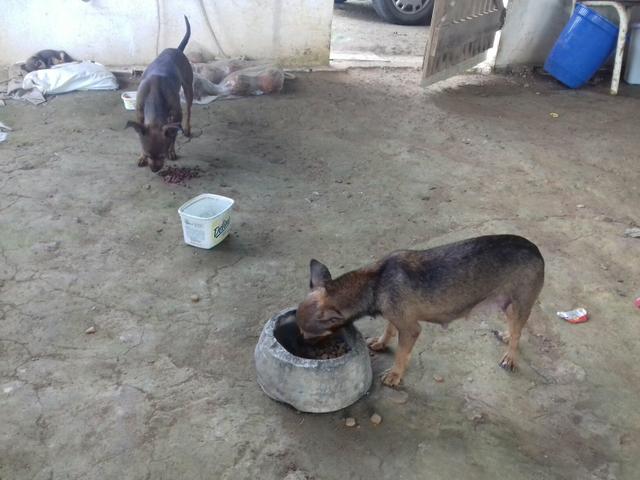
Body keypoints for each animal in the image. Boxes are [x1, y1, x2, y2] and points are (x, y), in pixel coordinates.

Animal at [126, 15, 194, 172]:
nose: (154, 170)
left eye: (162, 155)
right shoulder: (140, 115)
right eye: (147, 154)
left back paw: (187, 129)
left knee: (188, 110)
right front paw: (141, 157)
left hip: (188, 88)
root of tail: (177, 49)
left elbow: (173, 135)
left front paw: (172, 151)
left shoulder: (177, 115)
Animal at [296, 234, 544, 388]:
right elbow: (389, 330)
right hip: (508, 306)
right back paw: (507, 336)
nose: (305, 348)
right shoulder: (395, 317)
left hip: (519, 304)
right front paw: (381, 342)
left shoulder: (410, 329)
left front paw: (395, 375)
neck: (374, 282)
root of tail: (536, 250)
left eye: (311, 336)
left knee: (519, 332)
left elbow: (401, 354)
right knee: (516, 330)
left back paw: (510, 357)